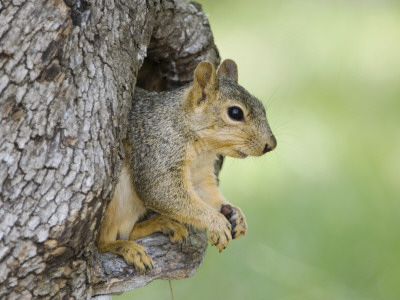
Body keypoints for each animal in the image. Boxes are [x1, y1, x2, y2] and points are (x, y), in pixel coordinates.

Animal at [98, 59, 276, 272]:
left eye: (262, 107)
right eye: (235, 113)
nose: (271, 145)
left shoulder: (200, 174)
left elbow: (205, 193)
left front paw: (236, 215)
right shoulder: (158, 149)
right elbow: (161, 190)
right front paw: (215, 222)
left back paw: (162, 223)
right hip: (118, 199)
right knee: (101, 243)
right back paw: (126, 247)